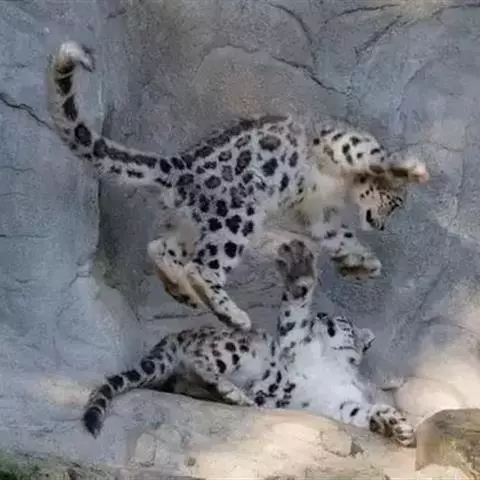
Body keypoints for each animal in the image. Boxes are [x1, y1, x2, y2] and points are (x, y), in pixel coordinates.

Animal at [46, 41, 429, 331]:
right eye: (395, 202)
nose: (383, 224)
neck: (340, 191)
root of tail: (179, 166)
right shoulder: (341, 145)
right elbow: (373, 157)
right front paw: (410, 169)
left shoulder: (320, 213)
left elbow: (340, 237)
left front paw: (363, 264)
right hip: (235, 217)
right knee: (204, 266)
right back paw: (233, 315)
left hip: (192, 225)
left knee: (161, 248)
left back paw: (184, 293)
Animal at [82, 239, 415, 447]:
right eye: (332, 316)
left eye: (342, 320)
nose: (321, 314)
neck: (335, 366)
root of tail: (173, 336)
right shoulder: (296, 344)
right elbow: (295, 314)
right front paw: (300, 271)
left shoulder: (341, 403)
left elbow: (364, 411)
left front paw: (397, 425)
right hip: (238, 347)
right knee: (197, 363)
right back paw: (234, 391)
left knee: (185, 377)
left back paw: (231, 395)